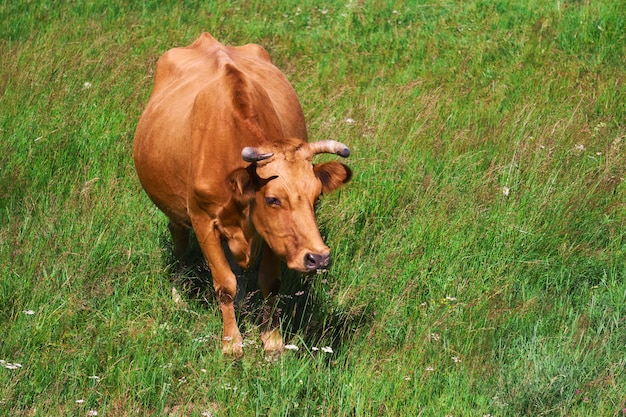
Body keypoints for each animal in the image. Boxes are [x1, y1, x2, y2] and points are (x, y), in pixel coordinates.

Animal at [132, 34, 352, 356]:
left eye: (316, 198)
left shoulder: (272, 234)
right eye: (273, 199)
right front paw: (231, 344)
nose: (318, 257)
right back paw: (178, 294)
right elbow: (224, 283)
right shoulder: (203, 221)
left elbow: (270, 283)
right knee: (179, 241)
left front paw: (271, 341)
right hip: (174, 208)